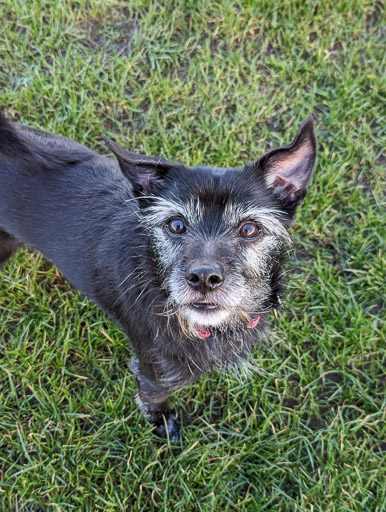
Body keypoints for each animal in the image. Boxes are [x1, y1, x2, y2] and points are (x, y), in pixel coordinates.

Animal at [0, 115, 316, 440]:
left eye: (250, 229)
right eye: (175, 225)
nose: (203, 278)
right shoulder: (152, 375)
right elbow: (154, 399)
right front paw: (163, 422)